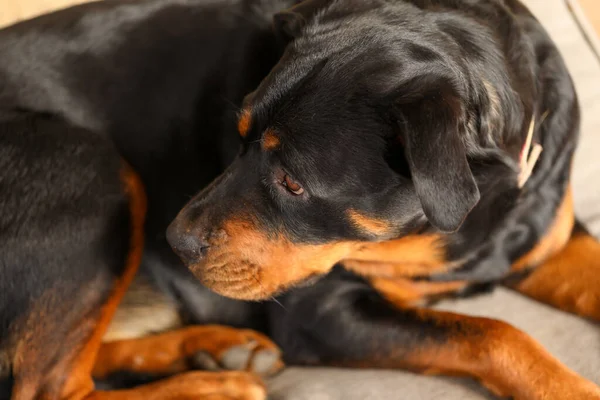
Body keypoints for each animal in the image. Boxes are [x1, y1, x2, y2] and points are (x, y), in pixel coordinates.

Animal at [0, 0, 596, 400]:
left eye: (292, 182)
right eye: (238, 135)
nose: (175, 240)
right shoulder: (322, 312)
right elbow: (496, 334)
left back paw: (214, 350)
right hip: (91, 167)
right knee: (52, 388)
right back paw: (214, 385)